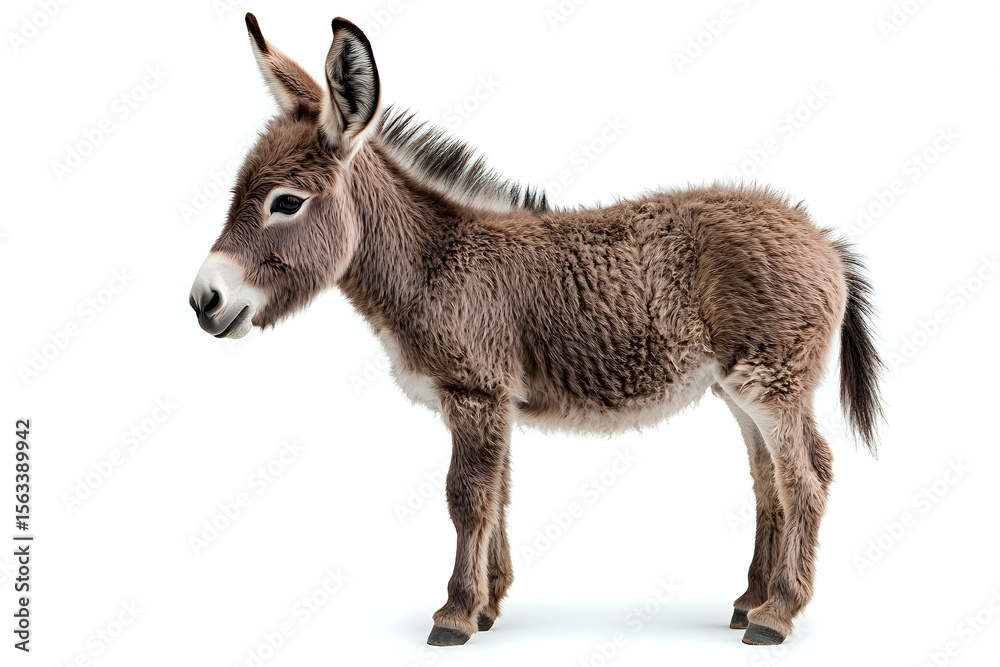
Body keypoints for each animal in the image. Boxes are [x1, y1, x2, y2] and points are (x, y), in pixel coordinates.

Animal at [189, 13, 884, 647]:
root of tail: (819, 234)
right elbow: (498, 494)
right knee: (770, 482)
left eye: (285, 203)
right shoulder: (496, 403)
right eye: (237, 192)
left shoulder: (476, 394)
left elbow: (466, 497)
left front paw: (454, 614)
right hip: (740, 390)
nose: (202, 300)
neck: (431, 262)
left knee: (806, 478)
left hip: (773, 381)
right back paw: (749, 601)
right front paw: (490, 605)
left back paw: (777, 615)